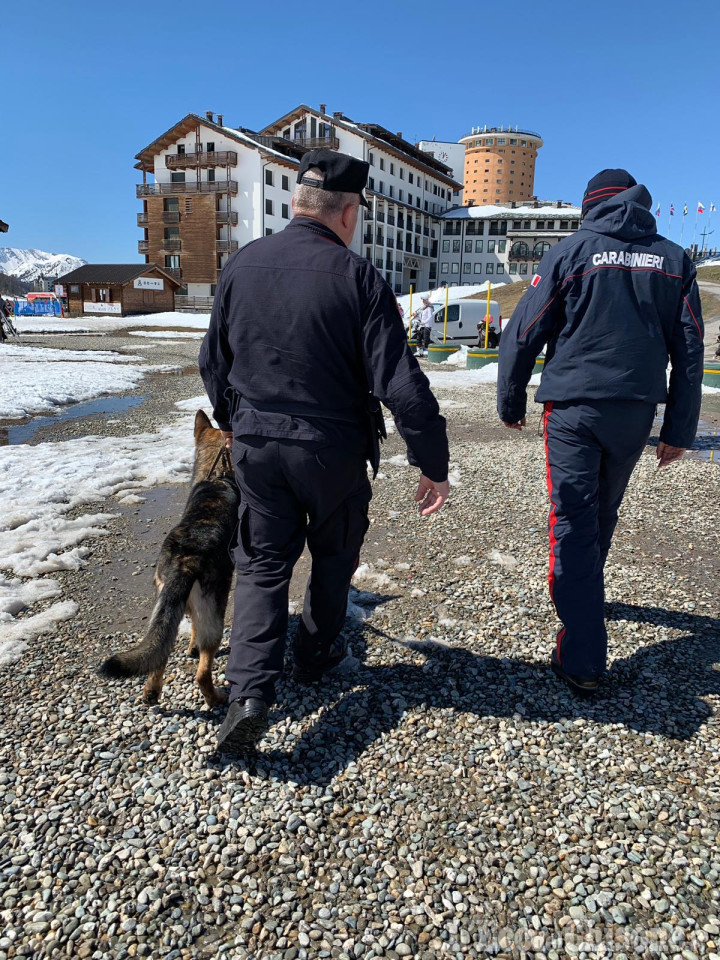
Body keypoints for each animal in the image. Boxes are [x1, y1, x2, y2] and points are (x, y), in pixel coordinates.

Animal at [100, 408, 239, 708]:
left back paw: (152, 692)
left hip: (165, 612)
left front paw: (191, 647)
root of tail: (183, 564)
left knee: (159, 655)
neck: (218, 474)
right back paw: (216, 698)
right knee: (202, 674)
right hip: (215, 615)